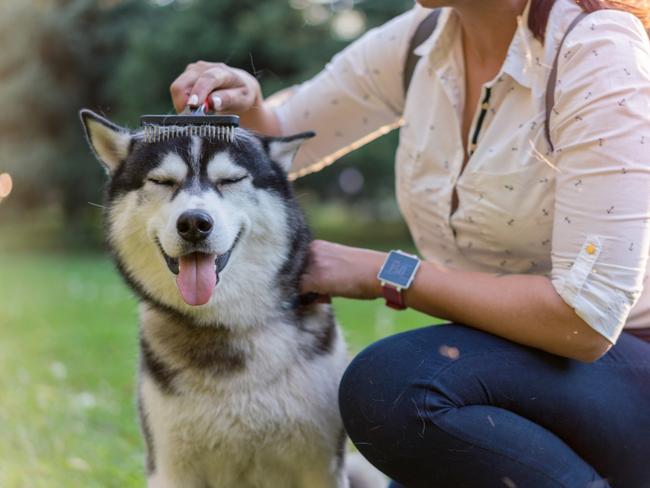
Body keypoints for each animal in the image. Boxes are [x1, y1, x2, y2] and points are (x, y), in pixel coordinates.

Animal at [78, 110, 382, 488]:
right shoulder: (170, 467)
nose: (194, 223)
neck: (227, 326)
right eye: (162, 181)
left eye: (231, 180)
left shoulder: (321, 464)